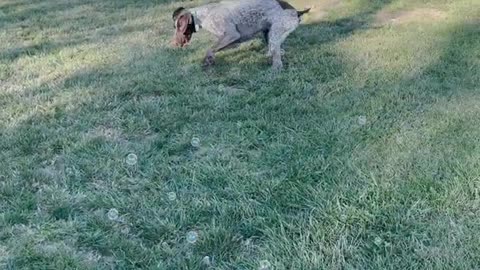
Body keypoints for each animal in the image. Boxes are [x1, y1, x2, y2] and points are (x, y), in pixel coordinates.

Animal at [172, 0, 312, 69]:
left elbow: (209, 49)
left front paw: (208, 60)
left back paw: (274, 70)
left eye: (179, 26)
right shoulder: (231, 40)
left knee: (277, 58)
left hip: (274, 34)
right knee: (276, 50)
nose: (175, 44)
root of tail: (297, 12)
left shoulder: (231, 35)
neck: (202, 16)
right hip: (269, 32)